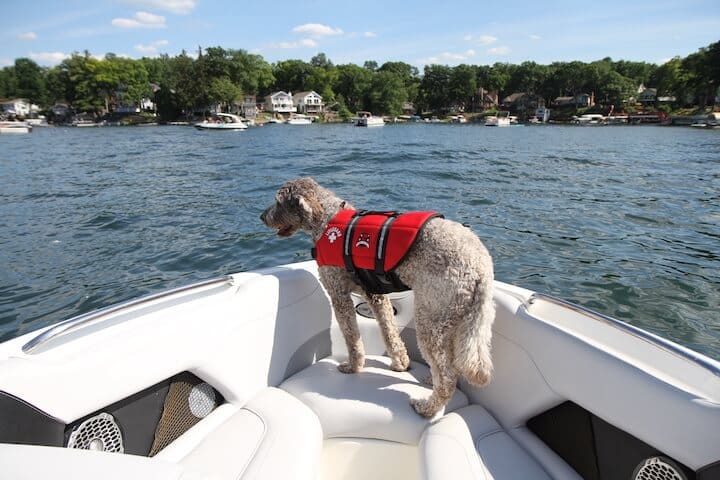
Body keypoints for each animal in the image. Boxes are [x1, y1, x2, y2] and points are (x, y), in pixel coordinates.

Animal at [260, 178, 496, 418]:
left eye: (278, 202)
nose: (262, 216)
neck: (327, 219)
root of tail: (481, 268)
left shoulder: (338, 294)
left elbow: (352, 338)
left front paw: (353, 367)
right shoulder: (375, 294)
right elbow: (390, 332)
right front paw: (400, 363)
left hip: (431, 318)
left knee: (447, 377)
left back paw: (426, 407)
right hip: (453, 319)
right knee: (450, 366)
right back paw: (431, 381)